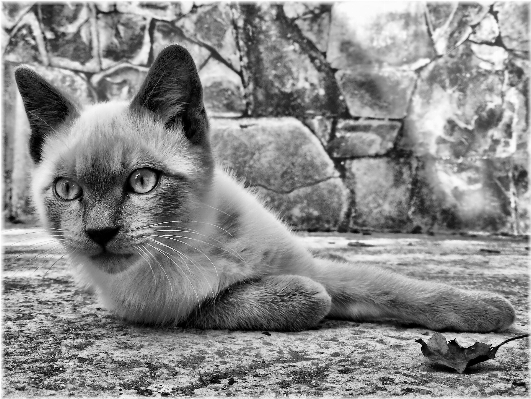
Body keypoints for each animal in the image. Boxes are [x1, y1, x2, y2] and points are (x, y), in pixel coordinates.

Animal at [13, 43, 516, 332]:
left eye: (142, 181)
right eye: (67, 191)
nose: (99, 234)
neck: (197, 242)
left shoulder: (312, 264)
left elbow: (396, 288)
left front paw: (490, 311)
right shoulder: (166, 309)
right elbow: (292, 298)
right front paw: (301, 297)